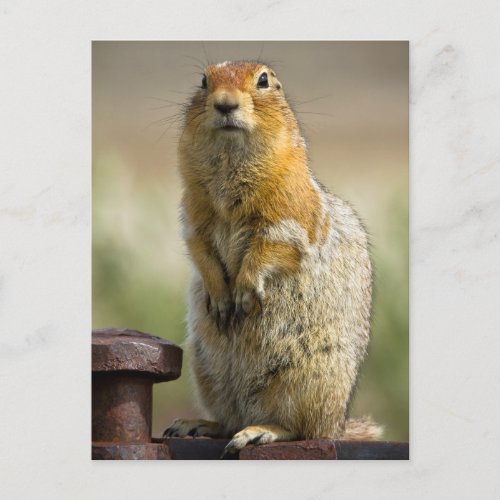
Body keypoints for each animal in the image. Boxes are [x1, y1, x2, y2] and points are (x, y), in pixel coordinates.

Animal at [162, 60, 380, 456]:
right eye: (203, 80)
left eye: (263, 80)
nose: (225, 103)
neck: (231, 166)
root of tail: (338, 424)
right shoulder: (194, 214)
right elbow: (199, 248)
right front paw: (220, 298)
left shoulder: (288, 210)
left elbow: (272, 246)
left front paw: (244, 293)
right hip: (206, 370)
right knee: (228, 418)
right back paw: (196, 424)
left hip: (306, 379)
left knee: (302, 429)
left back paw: (260, 431)